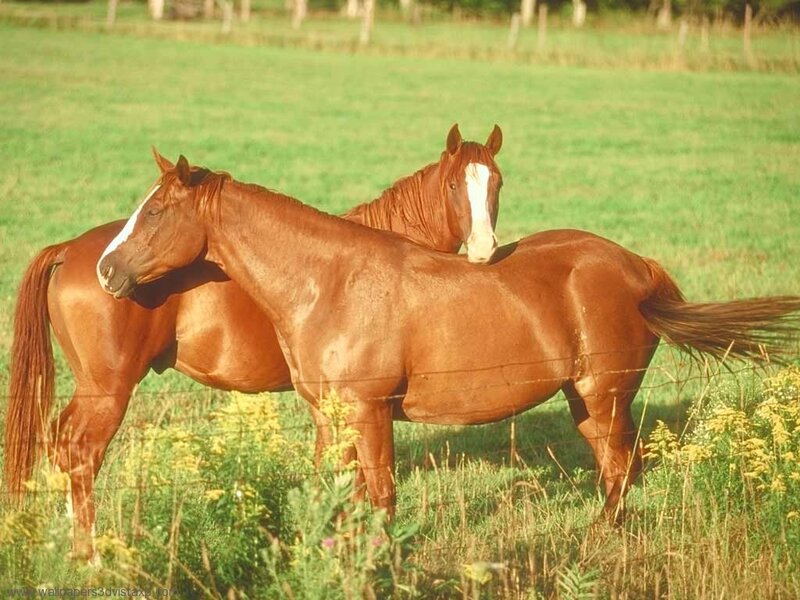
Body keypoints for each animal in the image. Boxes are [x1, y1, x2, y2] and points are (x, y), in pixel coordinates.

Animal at [4, 124, 504, 560]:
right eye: (456, 186)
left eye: (496, 183)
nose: (484, 249)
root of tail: (71, 250)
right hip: (108, 391)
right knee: (81, 452)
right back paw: (90, 557)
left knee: (60, 445)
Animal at [93, 154, 800, 535]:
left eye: (156, 211)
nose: (107, 270)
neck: (330, 282)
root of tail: (637, 267)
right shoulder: (330, 416)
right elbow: (330, 493)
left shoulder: (371, 413)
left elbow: (380, 496)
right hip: (584, 399)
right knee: (616, 469)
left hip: (605, 396)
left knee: (621, 468)